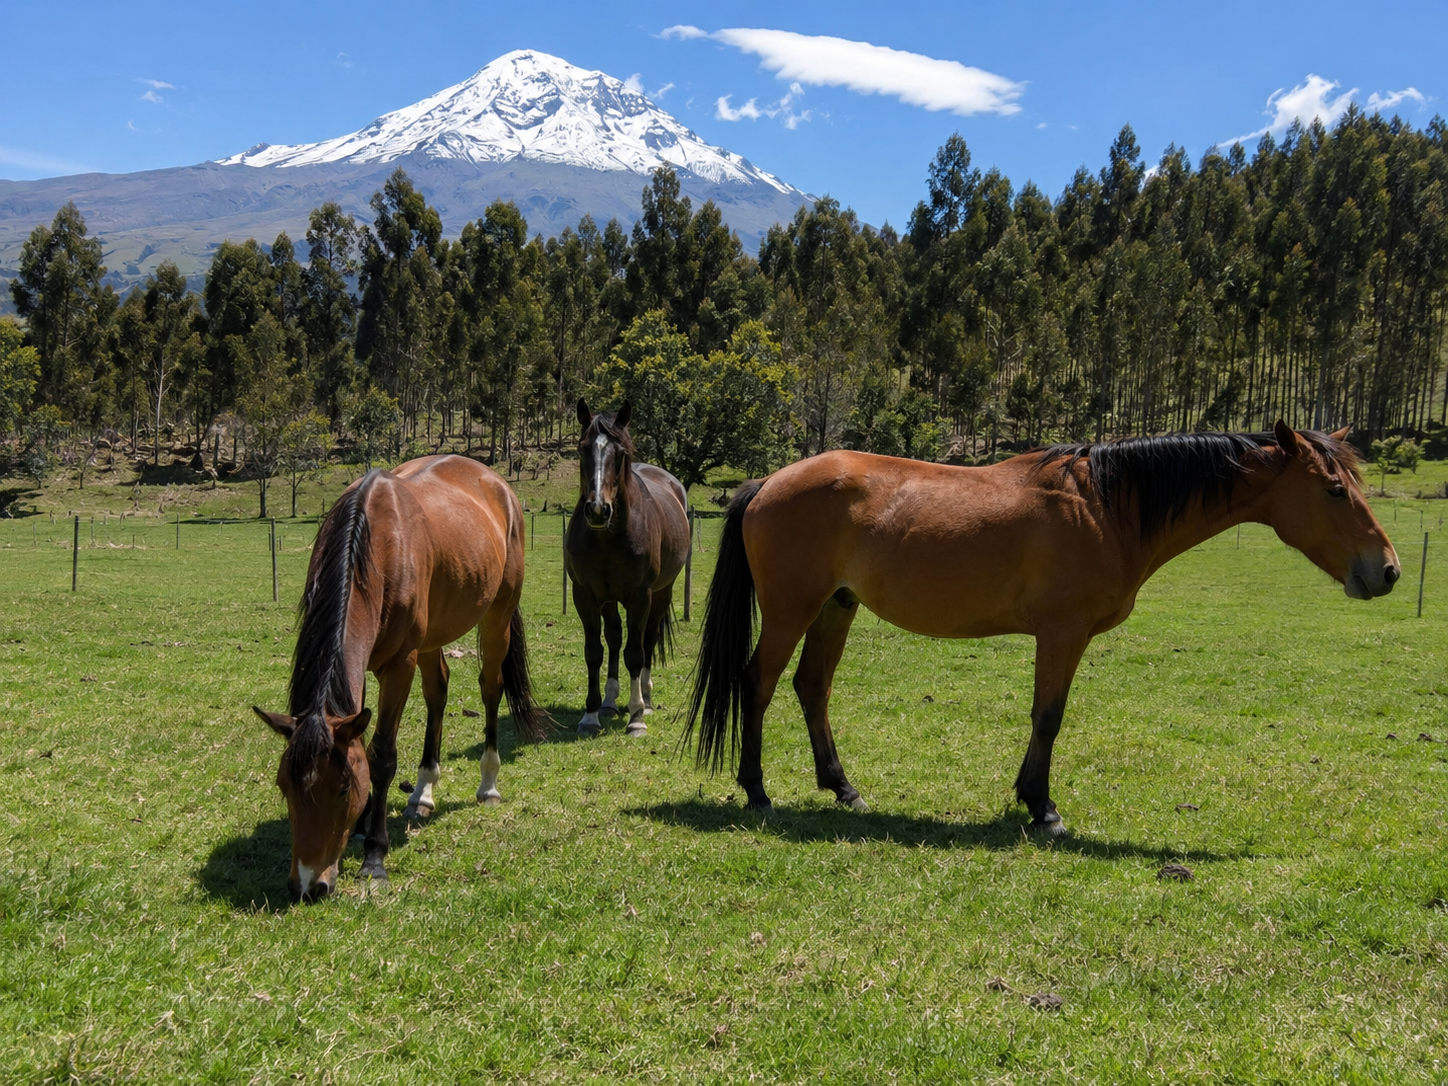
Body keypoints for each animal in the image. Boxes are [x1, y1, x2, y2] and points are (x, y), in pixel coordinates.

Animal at [252, 455, 544, 901]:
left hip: (497, 616)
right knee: (438, 690)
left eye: (341, 789)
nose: (308, 886)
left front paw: (374, 855)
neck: (373, 544)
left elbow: (382, 756)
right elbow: (363, 742)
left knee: (490, 688)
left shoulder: (399, 665)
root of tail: (498, 485)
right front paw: (362, 824)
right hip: (433, 635)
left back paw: (488, 784)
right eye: (285, 786)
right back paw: (423, 791)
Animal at [564, 399, 690, 736]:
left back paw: (645, 698)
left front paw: (636, 717)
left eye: (620, 454)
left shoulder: (640, 596)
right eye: (582, 450)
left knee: (646, 640)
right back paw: (609, 702)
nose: (598, 509)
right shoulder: (585, 595)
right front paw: (590, 715)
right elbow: (594, 651)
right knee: (614, 637)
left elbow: (635, 653)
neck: (608, 538)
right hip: (608, 599)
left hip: (661, 594)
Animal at [687, 422, 1399, 831]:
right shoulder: (1063, 633)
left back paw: (844, 789)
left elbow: (1043, 716)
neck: (1107, 505)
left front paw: (1030, 800)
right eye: (1334, 489)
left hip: (836, 606)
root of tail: (769, 481)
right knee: (758, 684)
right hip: (792, 609)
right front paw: (1043, 807)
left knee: (812, 688)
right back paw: (756, 791)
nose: (1387, 570)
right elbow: (1048, 716)